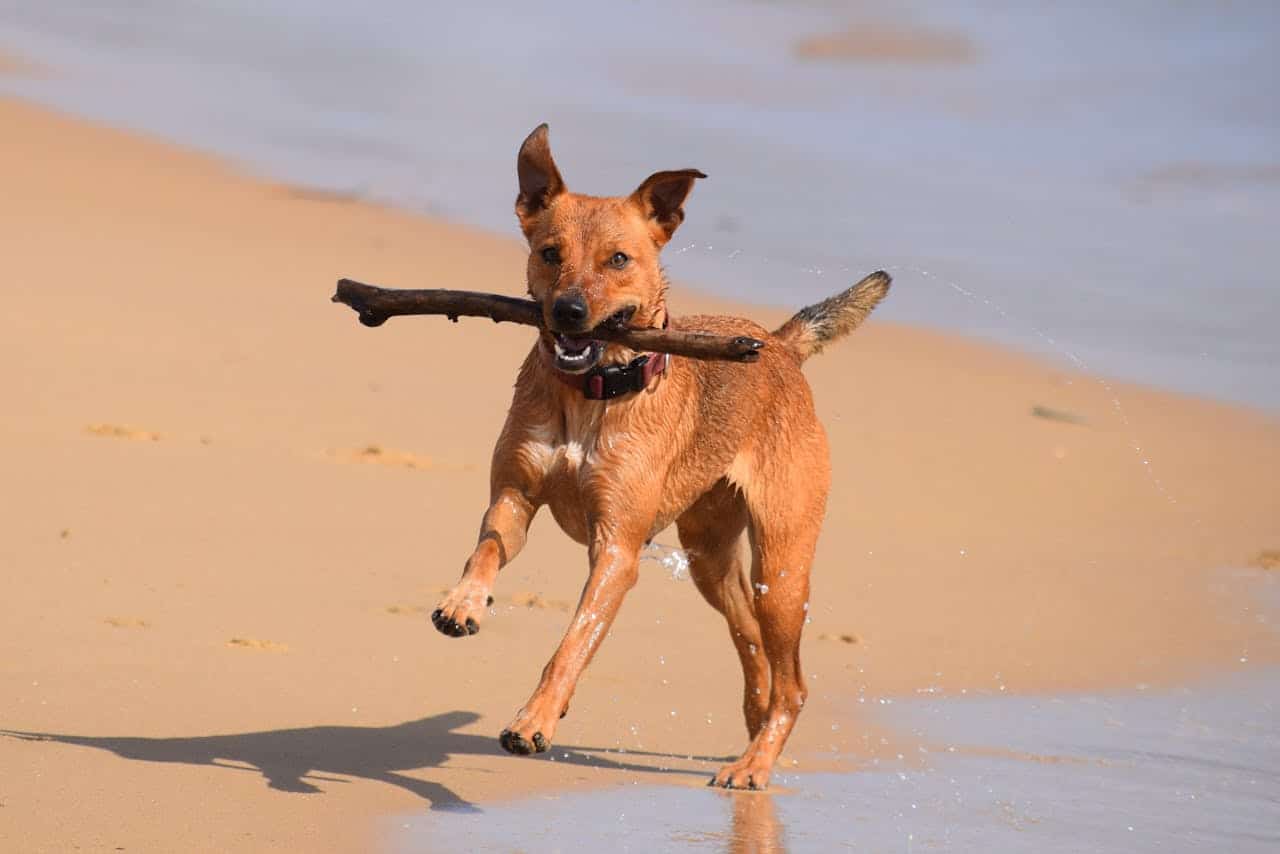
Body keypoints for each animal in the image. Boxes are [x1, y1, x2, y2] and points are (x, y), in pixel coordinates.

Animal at [430, 123, 890, 793]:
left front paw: (535, 719)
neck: (593, 391)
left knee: (794, 682)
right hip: (709, 556)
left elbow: (572, 644)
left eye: (619, 259)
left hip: (781, 565)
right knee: (751, 641)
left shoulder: (616, 550)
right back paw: (753, 719)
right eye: (550, 252)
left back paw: (755, 763)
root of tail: (778, 347)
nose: (569, 311)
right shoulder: (513, 495)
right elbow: (487, 549)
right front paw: (464, 602)